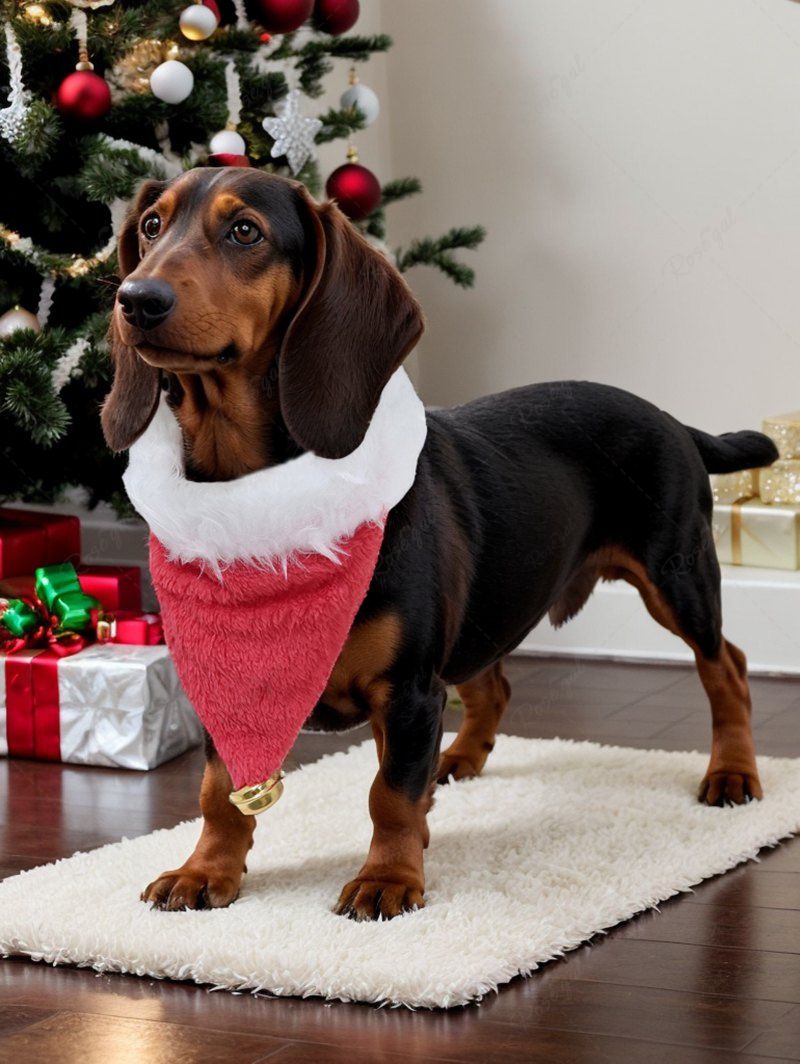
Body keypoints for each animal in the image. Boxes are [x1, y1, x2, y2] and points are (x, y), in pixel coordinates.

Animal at [103, 170, 778, 919]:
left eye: (245, 230)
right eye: (151, 227)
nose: (136, 299)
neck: (257, 500)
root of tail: (673, 420)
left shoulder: (408, 691)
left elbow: (388, 793)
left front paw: (388, 878)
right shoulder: (231, 690)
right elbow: (220, 792)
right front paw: (204, 870)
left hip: (676, 576)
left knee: (727, 667)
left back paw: (732, 771)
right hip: (480, 606)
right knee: (494, 686)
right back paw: (459, 760)